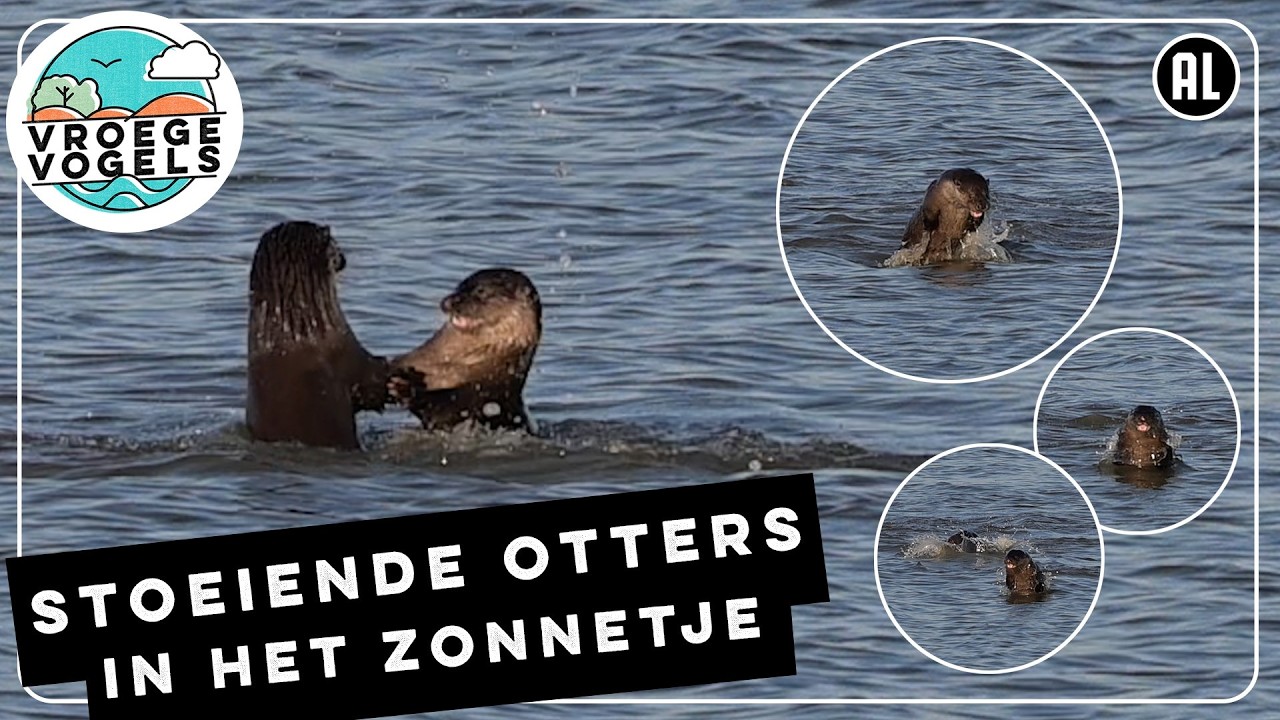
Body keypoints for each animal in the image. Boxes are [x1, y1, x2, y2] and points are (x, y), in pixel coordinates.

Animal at [390, 268, 541, 432]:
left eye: (481, 290)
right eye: (459, 287)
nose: (447, 302)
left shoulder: (476, 402)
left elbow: (440, 408)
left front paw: (405, 388)